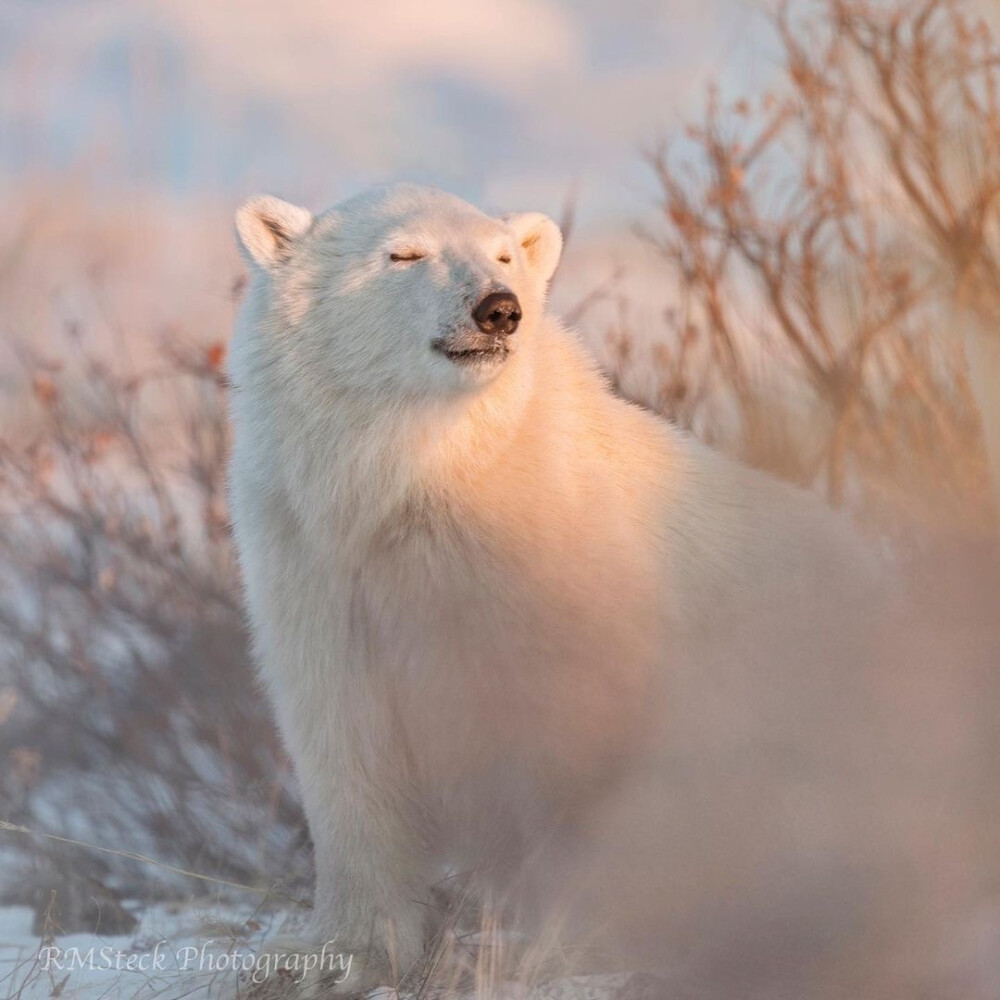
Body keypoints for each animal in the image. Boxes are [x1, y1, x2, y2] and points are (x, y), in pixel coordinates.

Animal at [227, 186, 884, 992]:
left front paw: (558, 946)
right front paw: (338, 959)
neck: (421, 480)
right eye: (403, 253)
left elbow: (567, 749)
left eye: (504, 254)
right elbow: (346, 751)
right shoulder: (317, 569)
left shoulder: (550, 590)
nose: (498, 309)